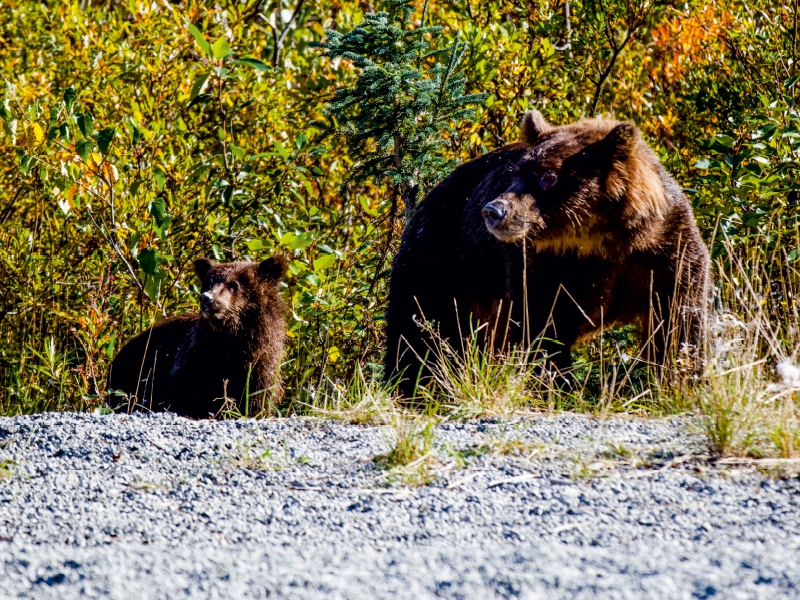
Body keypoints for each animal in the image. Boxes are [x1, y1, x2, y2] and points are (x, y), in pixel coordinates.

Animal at [108, 254, 286, 418]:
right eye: (210, 282)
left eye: (234, 284)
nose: (207, 298)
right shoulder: (197, 356)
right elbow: (186, 391)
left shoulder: (261, 365)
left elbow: (256, 398)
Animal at [386, 110, 708, 398]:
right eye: (516, 172)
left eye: (548, 176)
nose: (494, 211)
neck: (603, 241)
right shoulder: (550, 267)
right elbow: (543, 326)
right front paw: (556, 386)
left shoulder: (663, 250)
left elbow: (679, 319)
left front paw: (682, 379)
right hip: (441, 263)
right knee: (419, 331)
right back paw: (409, 388)